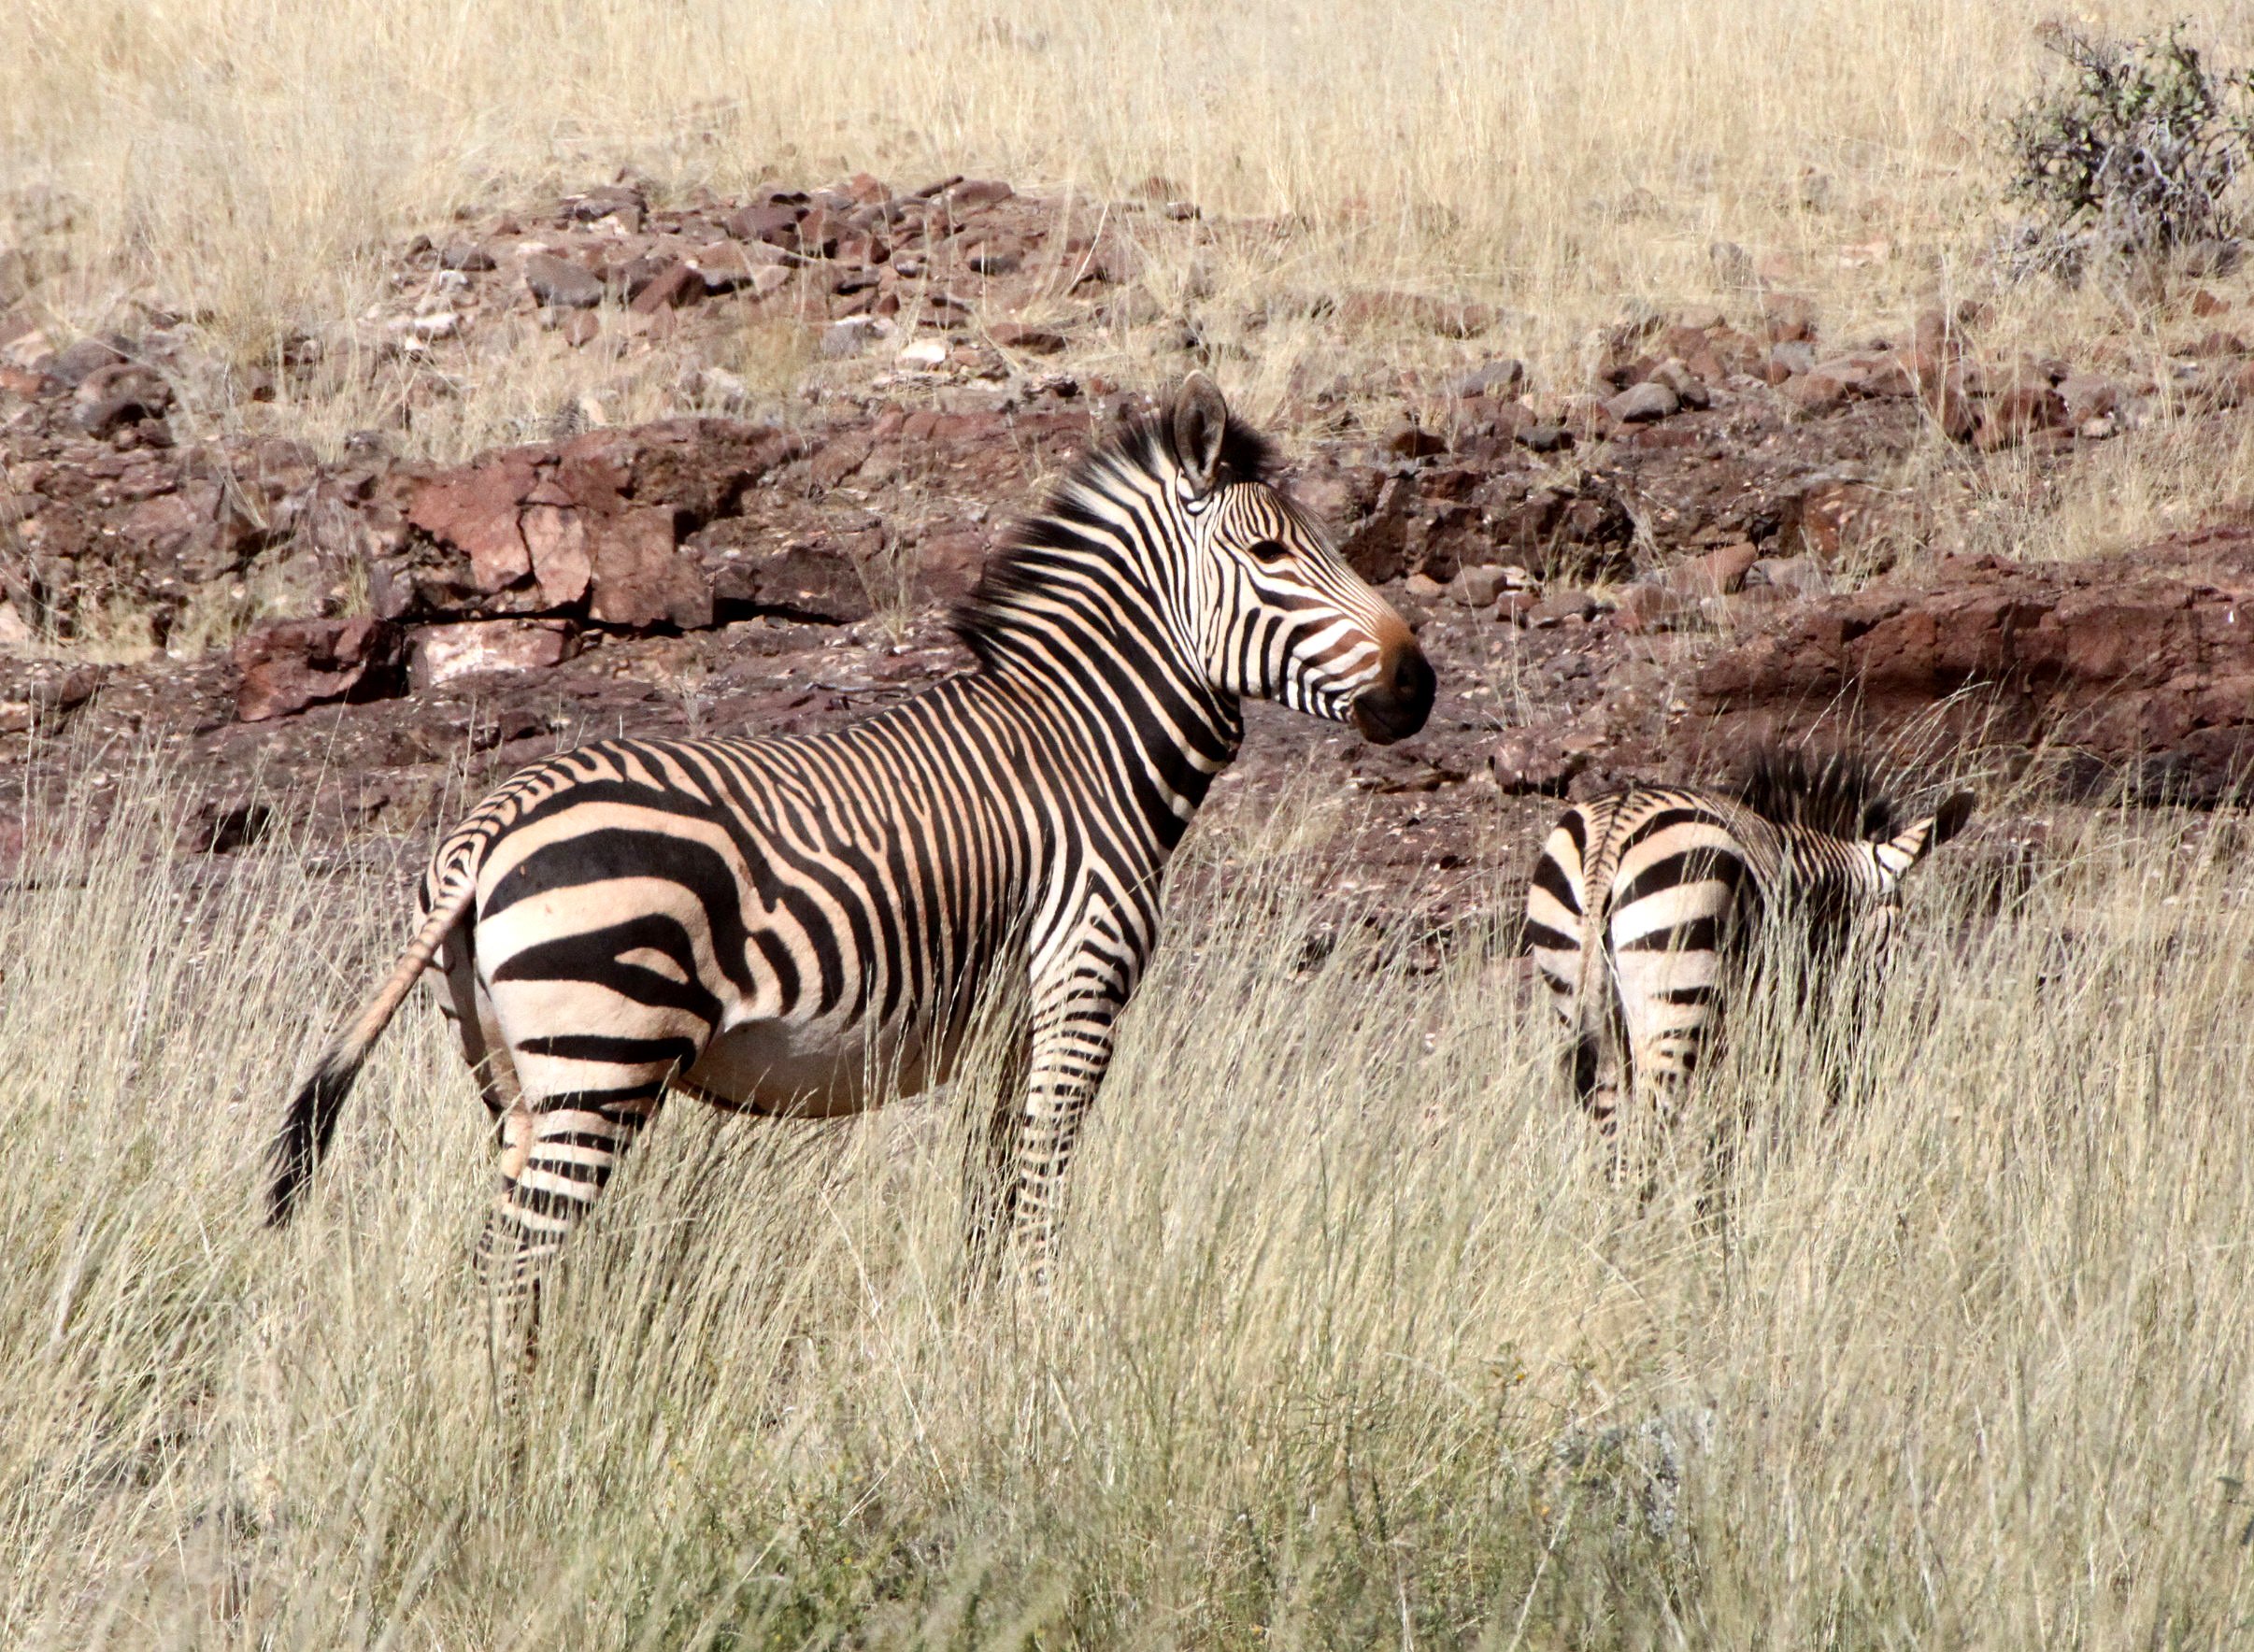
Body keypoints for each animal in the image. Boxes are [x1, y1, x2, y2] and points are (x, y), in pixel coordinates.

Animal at [267, 373, 1435, 1329]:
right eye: (1271, 554)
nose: (1419, 685)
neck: (1084, 742)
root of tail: (488, 830)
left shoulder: (1008, 1025)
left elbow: (989, 1196)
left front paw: (981, 1343)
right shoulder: (1079, 986)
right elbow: (1040, 1191)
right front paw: (1044, 1344)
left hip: (511, 1072)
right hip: (601, 1058)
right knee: (510, 1262)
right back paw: (519, 1439)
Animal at [1521, 750, 1975, 1136]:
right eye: (1895, 942)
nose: (1859, 1074)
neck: (1805, 876)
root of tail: (1609, 835)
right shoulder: (1762, 1002)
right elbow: (1750, 1090)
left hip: (1578, 999)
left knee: (1610, 1124)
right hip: (1672, 996)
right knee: (1655, 1122)